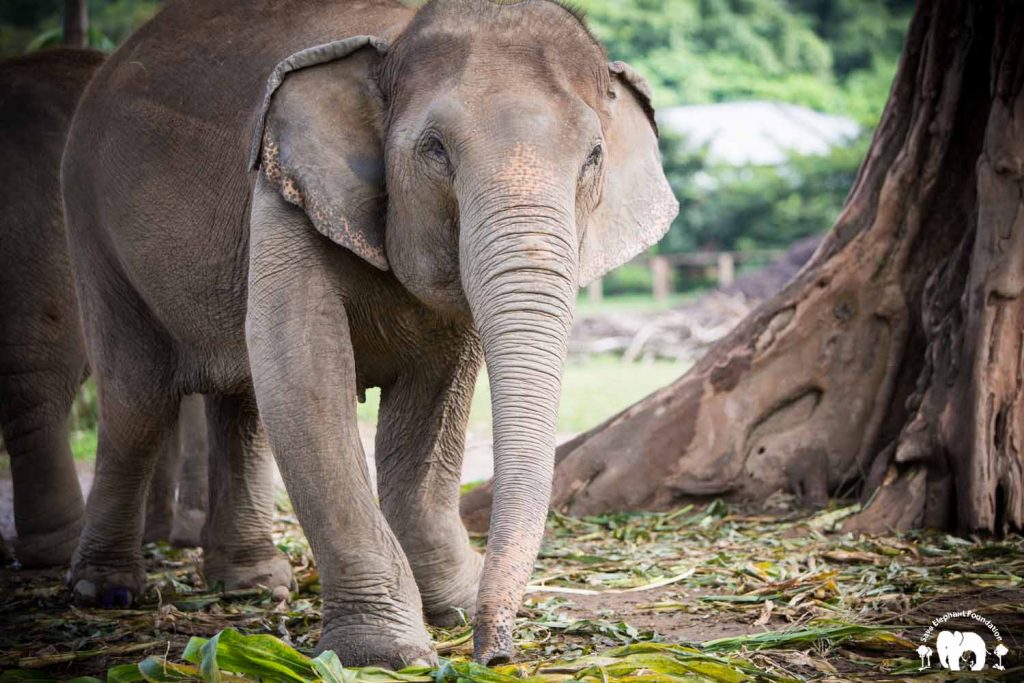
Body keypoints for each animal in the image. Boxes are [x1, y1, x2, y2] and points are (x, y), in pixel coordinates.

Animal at [60, 0, 677, 667]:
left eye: (593, 155)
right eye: (436, 149)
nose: (497, 655)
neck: (397, 37)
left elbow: (436, 395)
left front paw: (455, 608)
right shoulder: (284, 190)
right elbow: (305, 373)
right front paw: (388, 656)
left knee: (242, 403)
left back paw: (253, 585)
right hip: (89, 226)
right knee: (139, 402)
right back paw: (106, 593)